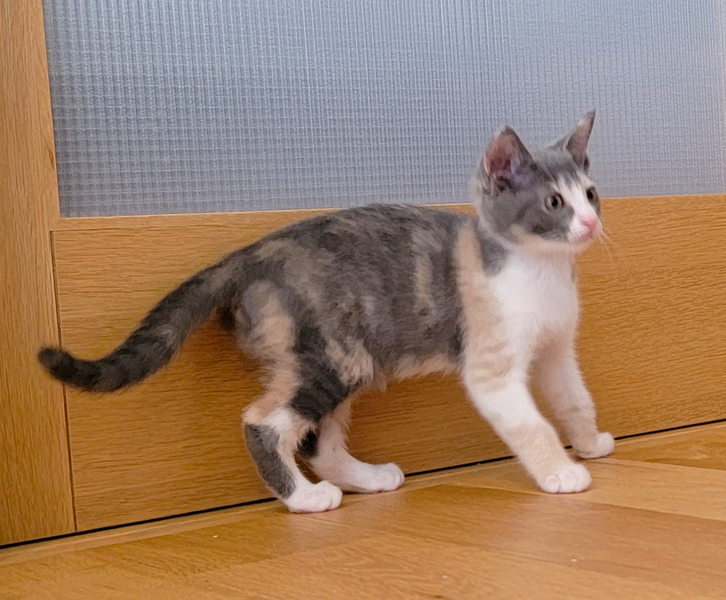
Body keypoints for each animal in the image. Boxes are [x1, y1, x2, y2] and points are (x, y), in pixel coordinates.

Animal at [39, 111, 614, 513]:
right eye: (554, 204)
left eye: (590, 194)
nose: (590, 223)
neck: (542, 271)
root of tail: (252, 254)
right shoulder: (491, 367)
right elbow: (531, 423)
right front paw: (560, 473)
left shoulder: (557, 349)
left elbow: (575, 399)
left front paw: (590, 444)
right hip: (332, 356)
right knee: (264, 423)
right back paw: (304, 499)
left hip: (343, 357)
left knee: (318, 440)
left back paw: (367, 479)